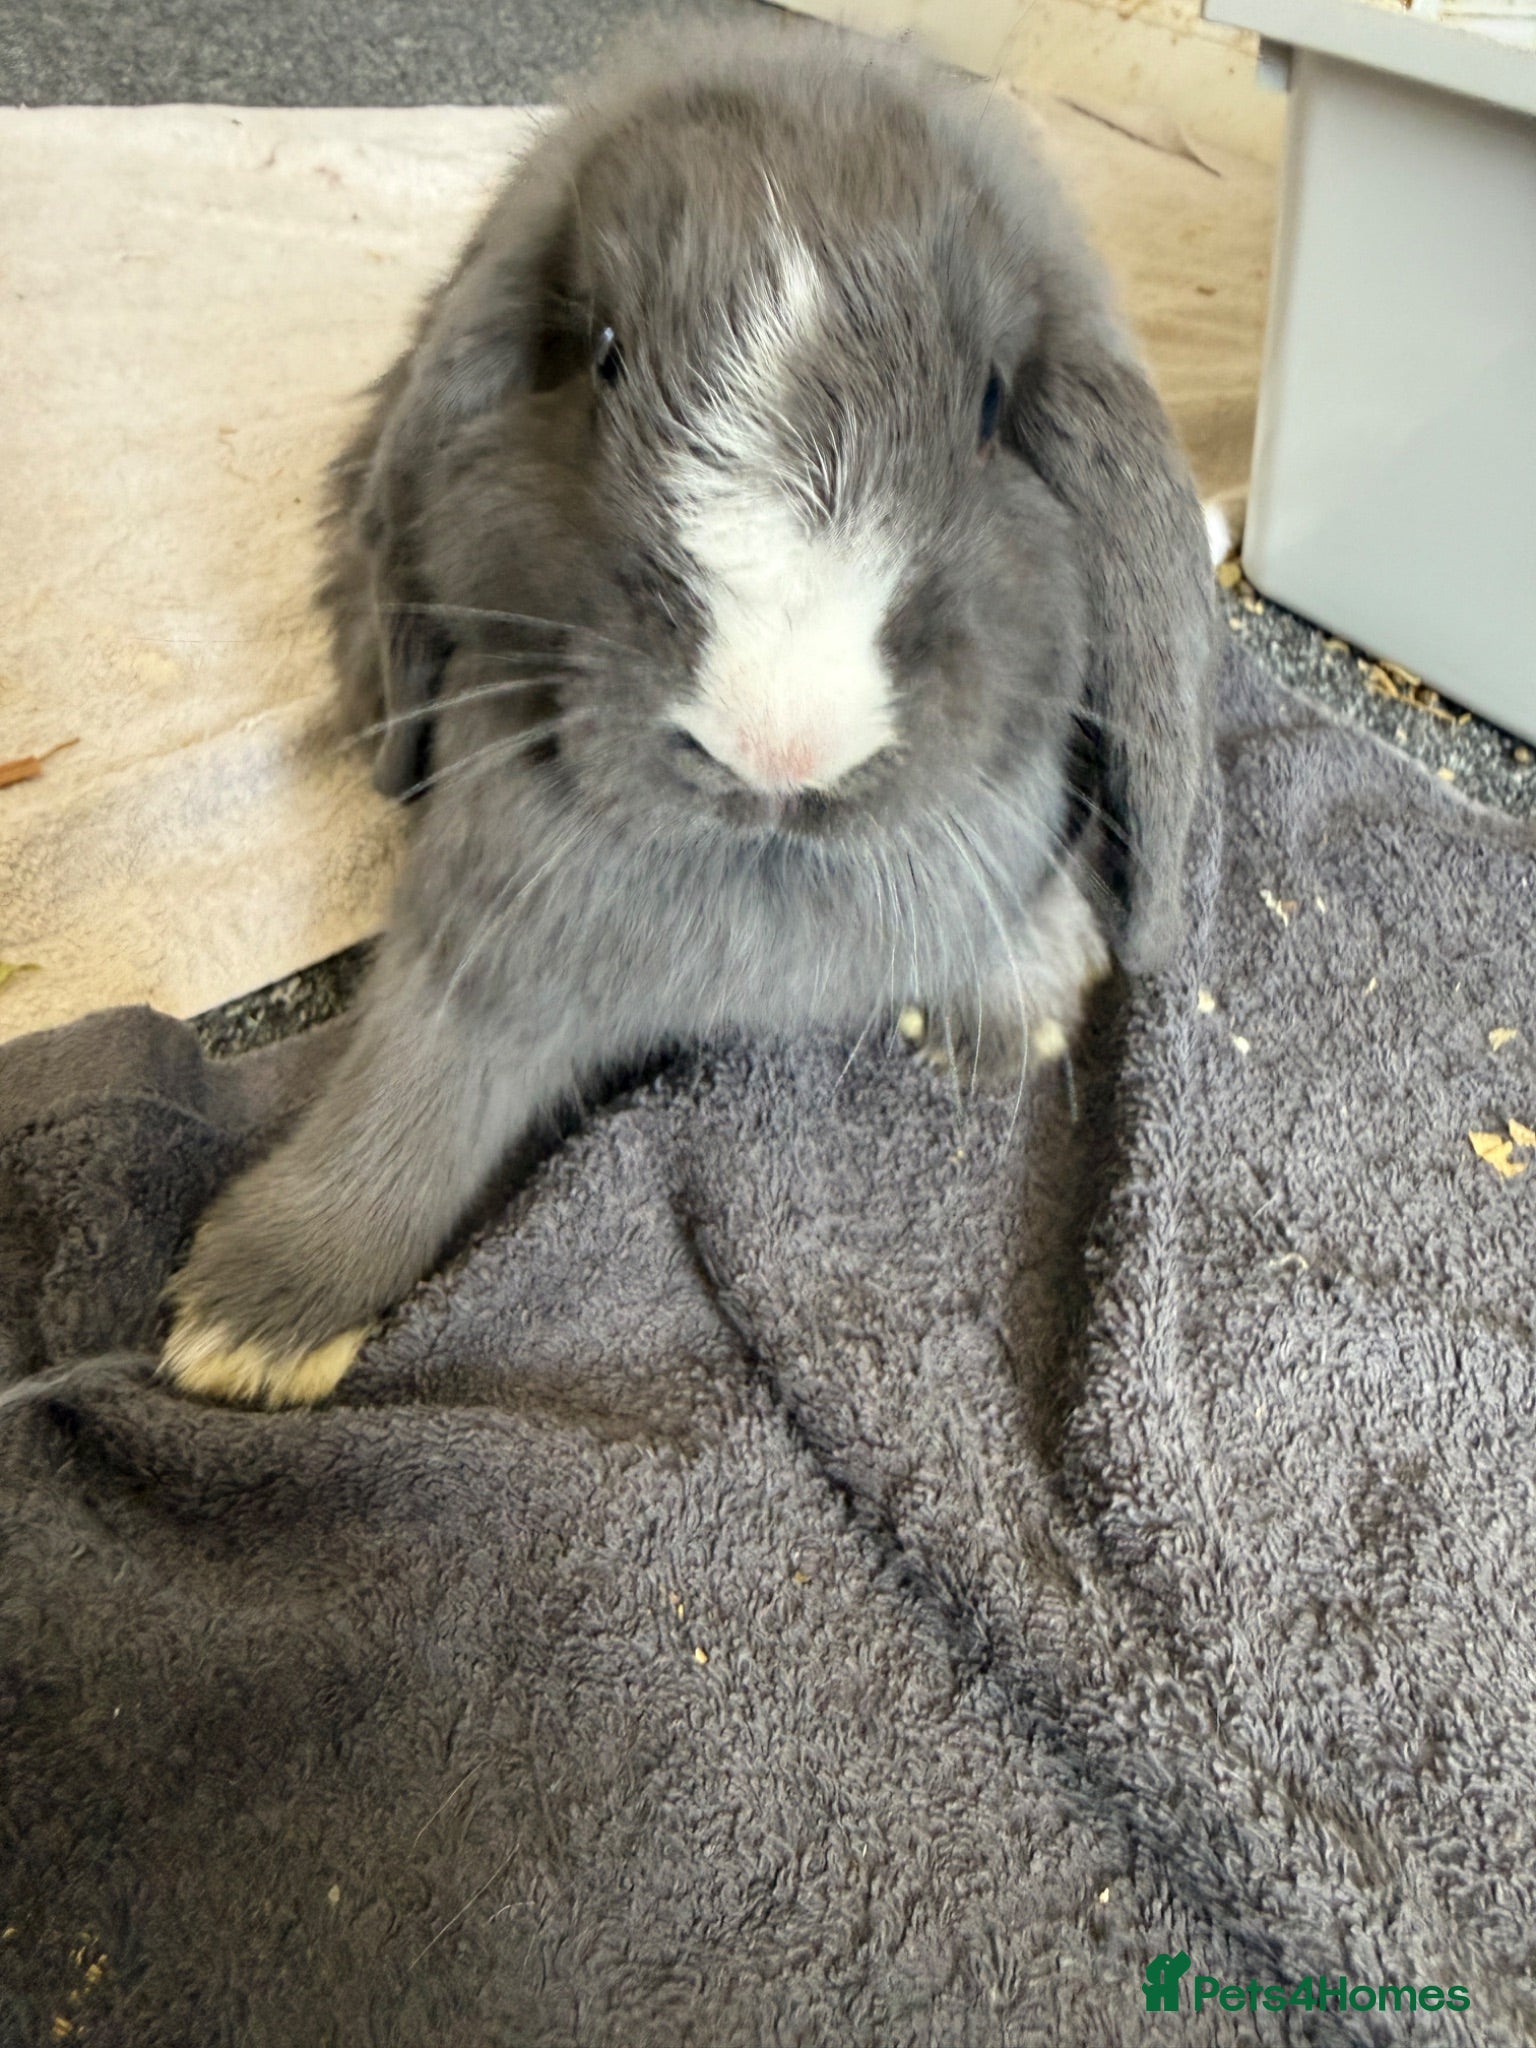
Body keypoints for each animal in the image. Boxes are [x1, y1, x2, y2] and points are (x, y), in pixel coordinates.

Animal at [160, 14, 1218, 1408]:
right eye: (604, 353)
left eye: (991, 406)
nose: (779, 736)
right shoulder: (473, 946)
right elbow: (411, 1091)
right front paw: (248, 1329)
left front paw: (1019, 1010)